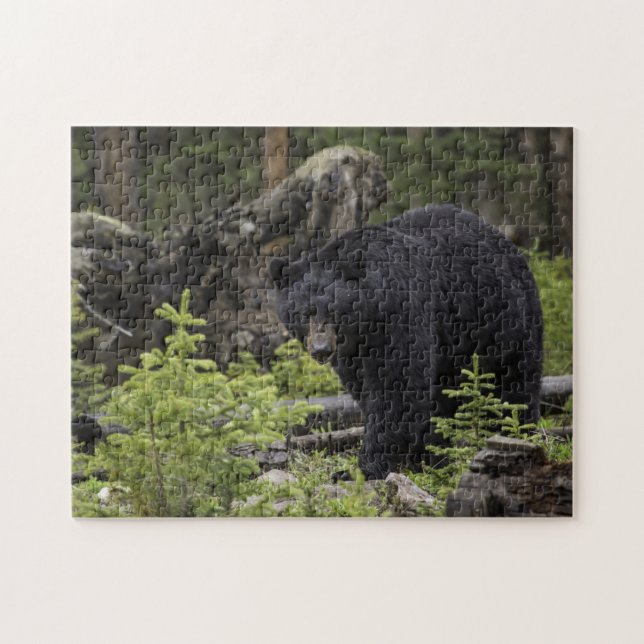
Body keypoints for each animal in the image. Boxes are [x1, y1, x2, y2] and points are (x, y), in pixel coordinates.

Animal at [268, 204, 544, 479]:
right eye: (304, 313)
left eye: (336, 311)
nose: (321, 350)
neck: (367, 321)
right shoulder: (352, 353)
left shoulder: (401, 314)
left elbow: (397, 386)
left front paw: (364, 467)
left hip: (504, 322)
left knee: (513, 385)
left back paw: (514, 435)